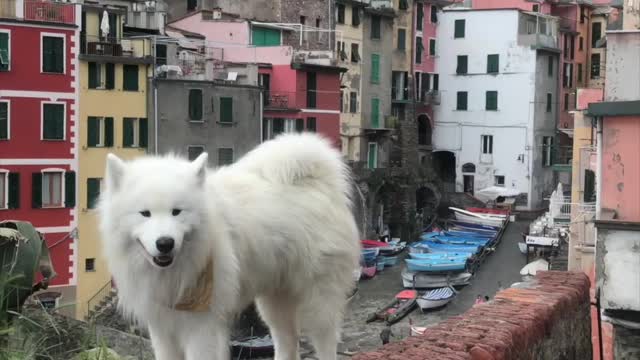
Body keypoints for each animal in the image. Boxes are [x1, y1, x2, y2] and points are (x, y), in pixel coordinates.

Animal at [97, 133, 362, 360]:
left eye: (176, 212)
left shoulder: (202, 326)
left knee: (325, 342)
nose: (165, 243)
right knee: (288, 342)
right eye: (145, 214)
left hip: (318, 302)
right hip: (275, 301)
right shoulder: (163, 328)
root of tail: (321, 185)